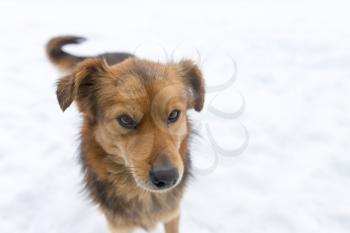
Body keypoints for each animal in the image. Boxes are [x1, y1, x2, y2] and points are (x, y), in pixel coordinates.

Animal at [46, 35, 205, 232]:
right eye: (126, 119)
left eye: (174, 114)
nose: (168, 177)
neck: (141, 194)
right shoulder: (118, 225)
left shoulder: (172, 214)